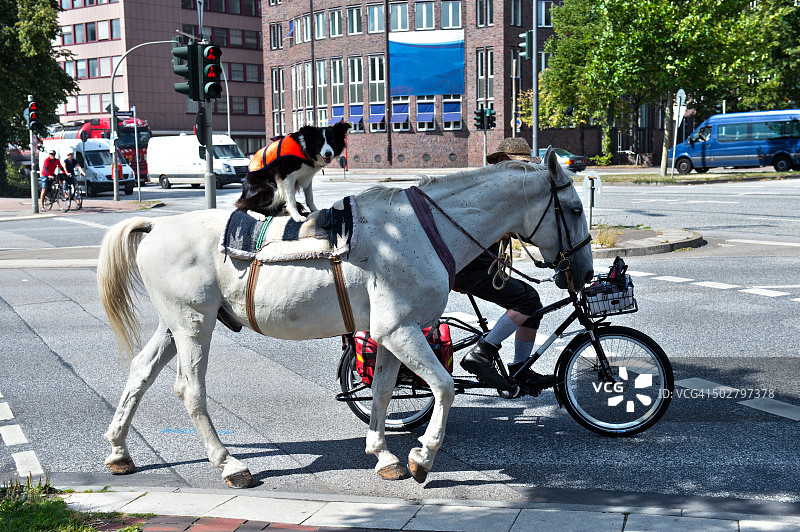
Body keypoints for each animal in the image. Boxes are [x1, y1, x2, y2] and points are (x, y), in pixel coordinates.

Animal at [97, 149, 593, 488]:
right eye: (573, 209)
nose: (585, 272)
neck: (423, 229)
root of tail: (158, 226)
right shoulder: (399, 330)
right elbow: (444, 387)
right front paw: (422, 457)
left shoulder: (391, 334)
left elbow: (383, 392)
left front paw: (384, 456)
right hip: (194, 324)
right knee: (189, 389)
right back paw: (230, 464)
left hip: (175, 325)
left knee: (140, 372)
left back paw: (120, 451)